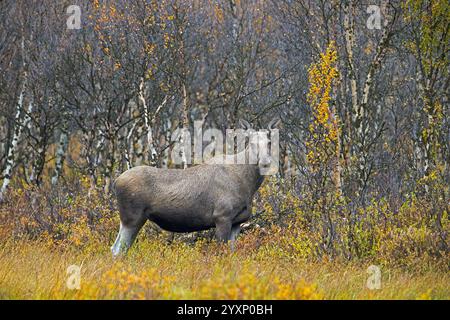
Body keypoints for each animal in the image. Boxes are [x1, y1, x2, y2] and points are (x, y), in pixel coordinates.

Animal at [110, 119, 278, 256]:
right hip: (131, 217)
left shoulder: (237, 222)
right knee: (118, 249)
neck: (248, 185)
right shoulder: (222, 217)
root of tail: (116, 181)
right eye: (252, 143)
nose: (265, 162)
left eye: (270, 142)